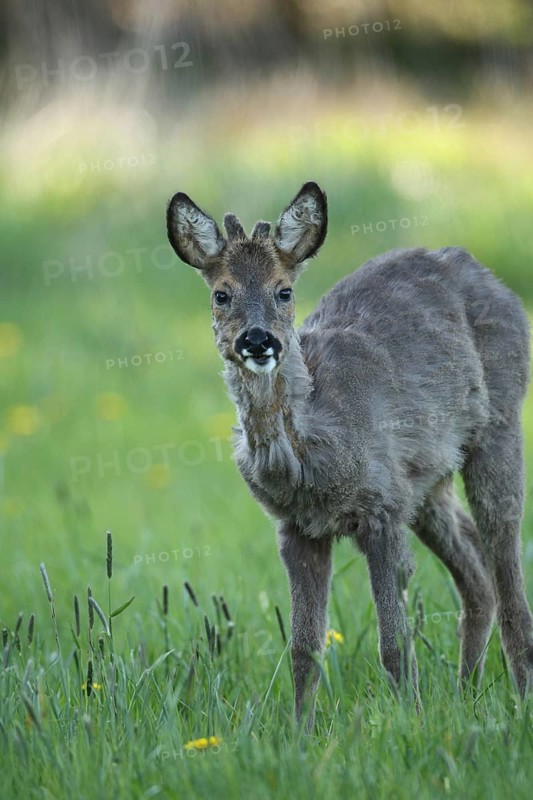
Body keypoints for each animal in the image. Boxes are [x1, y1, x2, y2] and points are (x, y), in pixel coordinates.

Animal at [166, 181, 533, 729]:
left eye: (284, 290)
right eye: (221, 294)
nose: (258, 339)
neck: (312, 452)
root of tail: (490, 277)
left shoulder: (381, 510)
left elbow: (393, 642)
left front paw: (410, 723)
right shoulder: (297, 528)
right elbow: (303, 648)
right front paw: (299, 732)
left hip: (500, 422)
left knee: (505, 559)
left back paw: (519, 697)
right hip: (425, 483)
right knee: (475, 572)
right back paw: (465, 694)